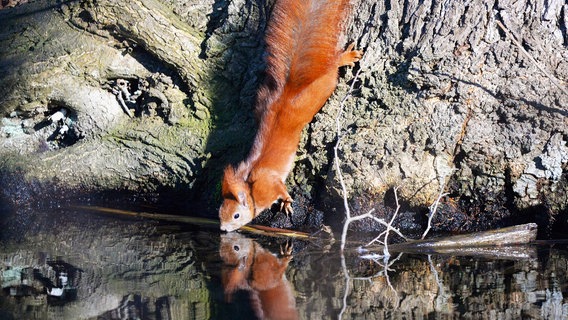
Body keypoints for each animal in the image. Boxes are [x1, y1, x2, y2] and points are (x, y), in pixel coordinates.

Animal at [220, 0, 362, 231]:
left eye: (236, 215)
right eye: (219, 212)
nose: (222, 229)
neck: (251, 188)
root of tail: (289, 92)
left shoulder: (270, 184)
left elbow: (281, 189)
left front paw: (286, 202)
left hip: (323, 86)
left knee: (332, 68)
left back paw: (344, 58)